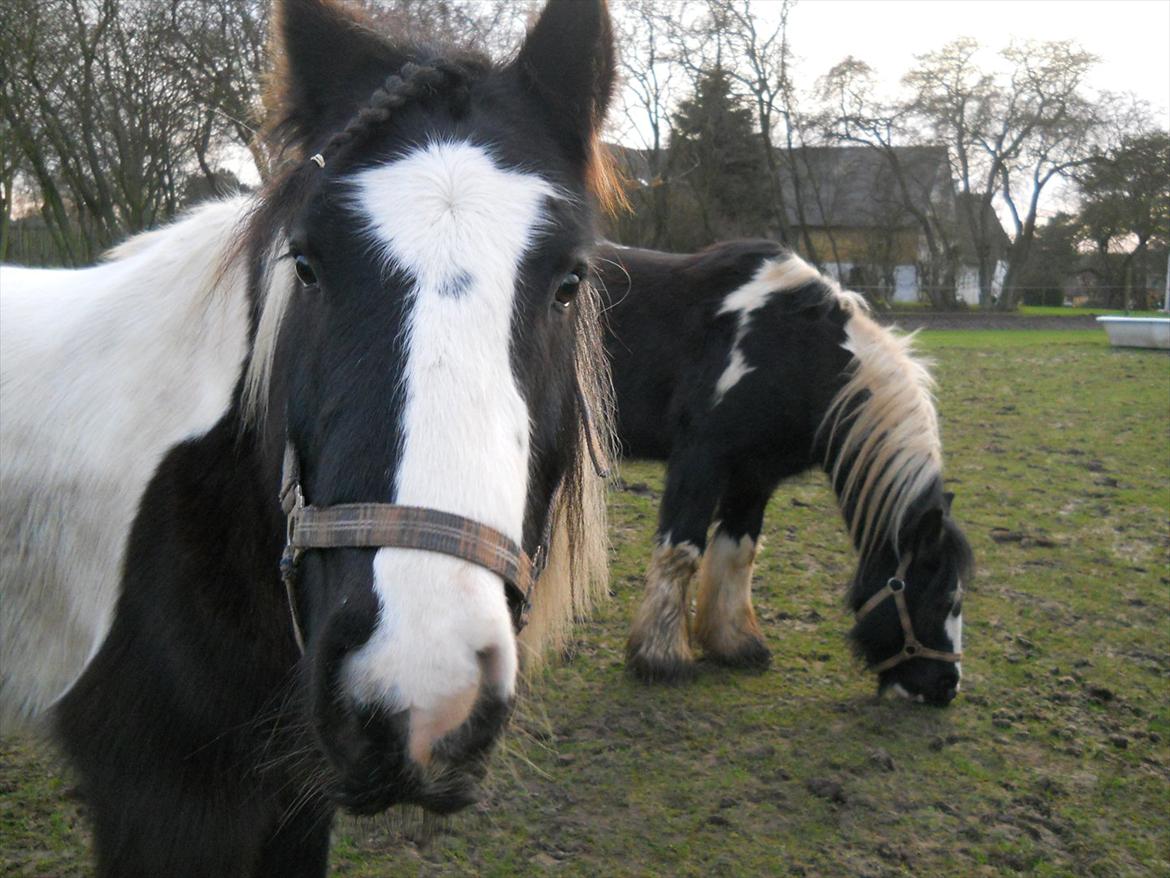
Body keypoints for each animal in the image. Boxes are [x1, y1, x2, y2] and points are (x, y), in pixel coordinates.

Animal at [599, 242, 973, 707]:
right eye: (943, 600)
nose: (945, 687)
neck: (794, 351)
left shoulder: (756, 473)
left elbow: (739, 550)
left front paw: (735, 643)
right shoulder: (700, 459)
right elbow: (681, 551)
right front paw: (660, 657)